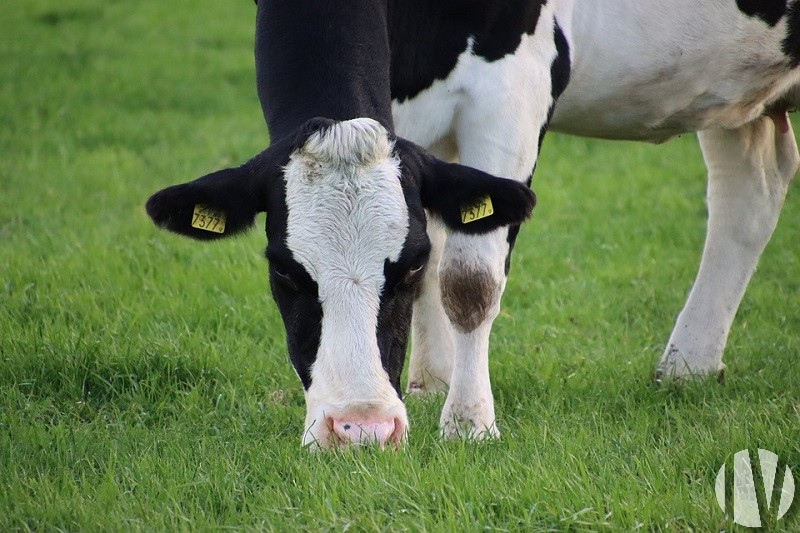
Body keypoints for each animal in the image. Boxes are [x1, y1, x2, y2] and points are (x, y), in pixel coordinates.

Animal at [146, 0, 540, 446]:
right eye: (283, 270)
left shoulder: (511, 93)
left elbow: (472, 280)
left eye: (411, 266)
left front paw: (470, 425)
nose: (363, 430)